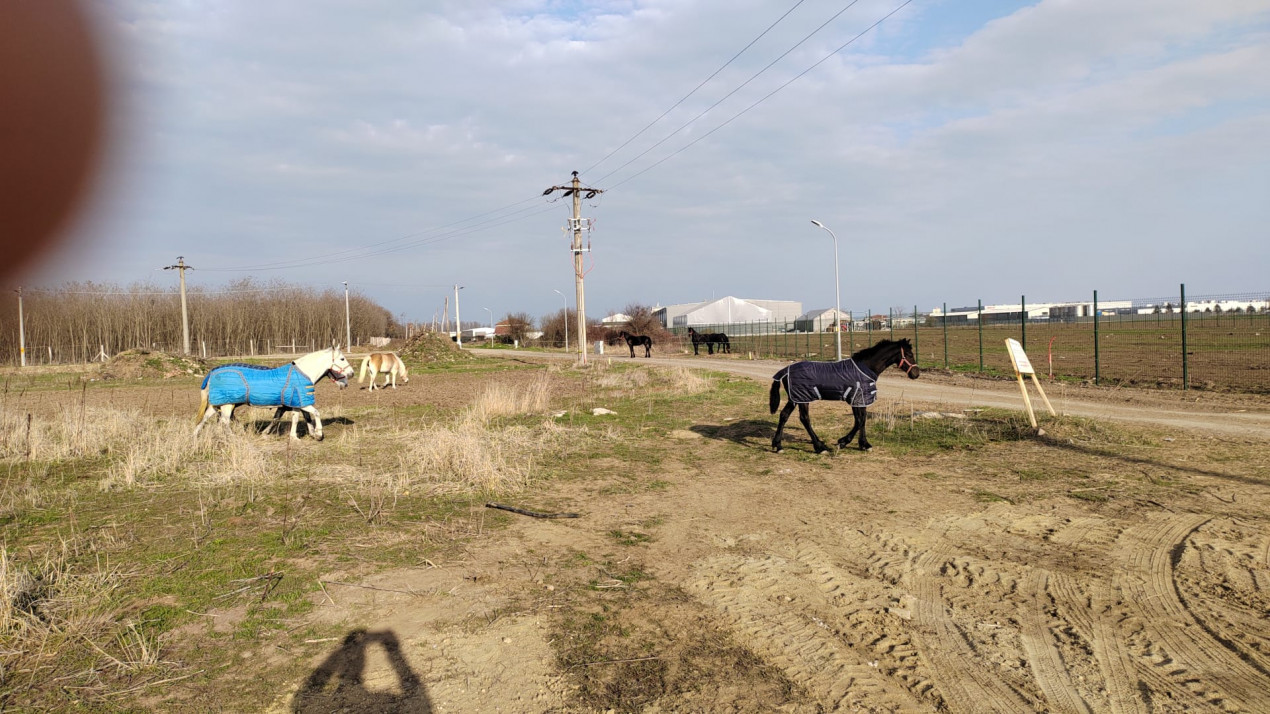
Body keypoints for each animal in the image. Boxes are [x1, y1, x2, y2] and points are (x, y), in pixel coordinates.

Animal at [187, 345, 350, 439]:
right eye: (342, 358)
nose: (351, 374)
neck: (302, 373)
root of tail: (212, 373)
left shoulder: (295, 403)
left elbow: (295, 418)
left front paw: (295, 437)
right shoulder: (302, 402)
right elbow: (315, 413)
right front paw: (319, 433)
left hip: (220, 403)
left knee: (206, 417)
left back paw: (195, 435)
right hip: (227, 404)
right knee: (224, 422)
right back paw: (234, 436)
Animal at [767, 337, 919, 449]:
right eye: (909, 354)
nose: (916, 374)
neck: (865, 368)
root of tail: (786, 370)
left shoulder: (861, 400)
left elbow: (862, 419)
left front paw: (864, 444)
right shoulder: (856, 399)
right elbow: (859, 421)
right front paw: (843, 441)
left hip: (795, 398)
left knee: (784, 415)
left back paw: (778, 445)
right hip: (802, 398)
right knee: (804, 418)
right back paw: (819, 447)